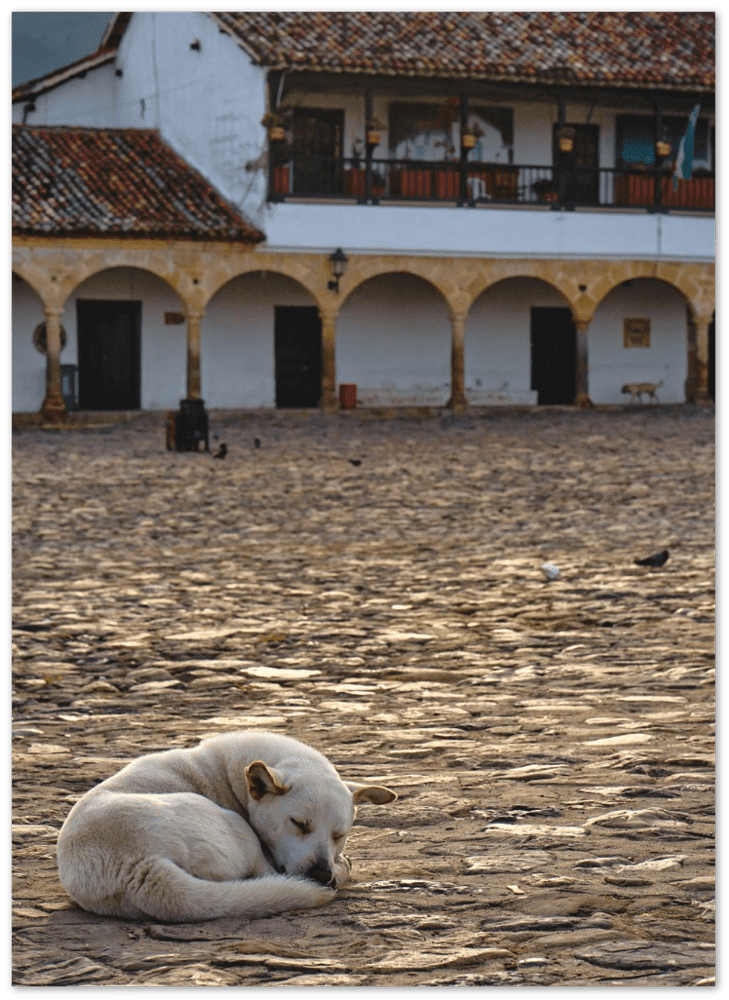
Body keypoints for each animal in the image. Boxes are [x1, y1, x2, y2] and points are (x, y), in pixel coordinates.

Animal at [55, 736, 398, 920]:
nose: (320, 874)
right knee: (269, 874)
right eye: (298, 824)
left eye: (339, 835)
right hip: (238, 829)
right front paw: (340, 867)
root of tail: (140, 866)